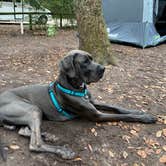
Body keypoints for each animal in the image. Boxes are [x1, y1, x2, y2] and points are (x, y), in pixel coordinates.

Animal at [0, 49, 157, 160]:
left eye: (92, 59)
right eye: (85, 62)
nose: (103, 68)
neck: (77, 88)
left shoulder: (94, 102)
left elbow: (116, 107)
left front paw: (138, 111)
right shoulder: (97, 115)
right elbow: (124, 116)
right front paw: (146, 117)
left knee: (25, 131)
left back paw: (47, 135)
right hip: (33, 109)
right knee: (35, 144)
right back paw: (63, 150)